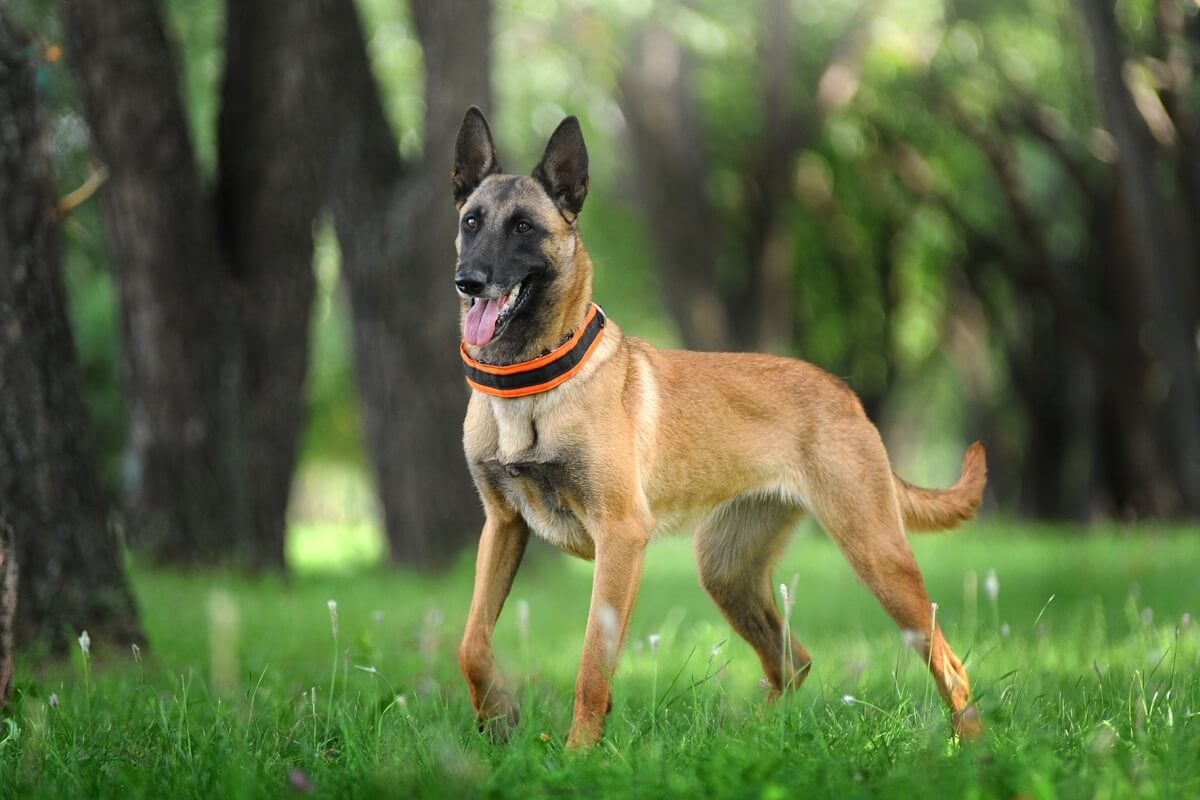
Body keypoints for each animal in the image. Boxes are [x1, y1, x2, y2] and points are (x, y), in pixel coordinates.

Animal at [451, 106, 984, 753]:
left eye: (525, 227)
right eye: (472, 222)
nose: (468, 280)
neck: (529, 384)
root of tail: (846, 395)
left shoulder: (620, 537)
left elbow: (591, 664)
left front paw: (579, 755)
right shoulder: (502, 527)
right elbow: (471, 643)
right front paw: (498, 716)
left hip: (876, 554)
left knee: (948, 663)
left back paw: (972, 748)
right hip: (728, 572)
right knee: (793, 662)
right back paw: (748, 737)